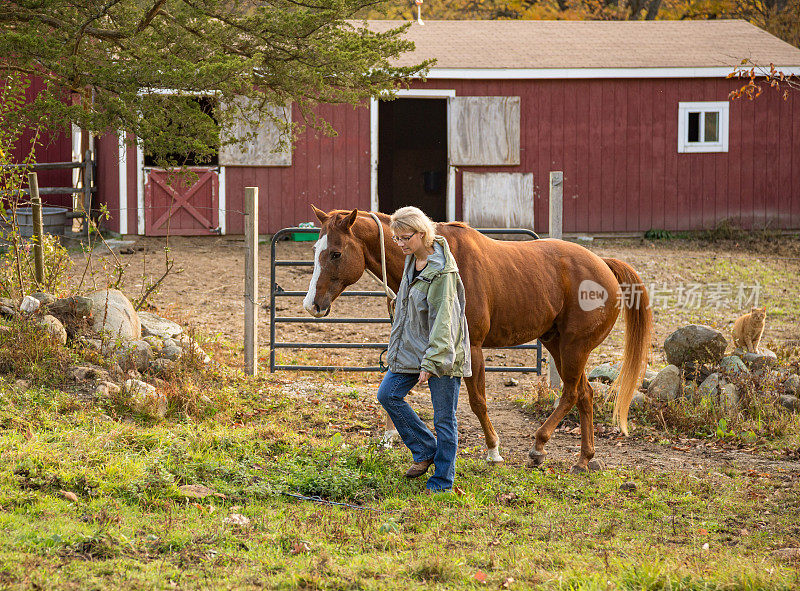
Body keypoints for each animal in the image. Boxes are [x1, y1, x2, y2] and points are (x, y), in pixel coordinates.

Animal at [304, 208, 652, 472]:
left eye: (335, 253)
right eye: (315, 250)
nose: (312, 305)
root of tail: (604, 265)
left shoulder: (471, 349)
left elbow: (478, 401)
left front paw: (493, 451)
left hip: (574, 348)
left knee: (571, 393)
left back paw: (539, 446)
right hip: (558, 344)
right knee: (584, 394)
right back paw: (583, 459)